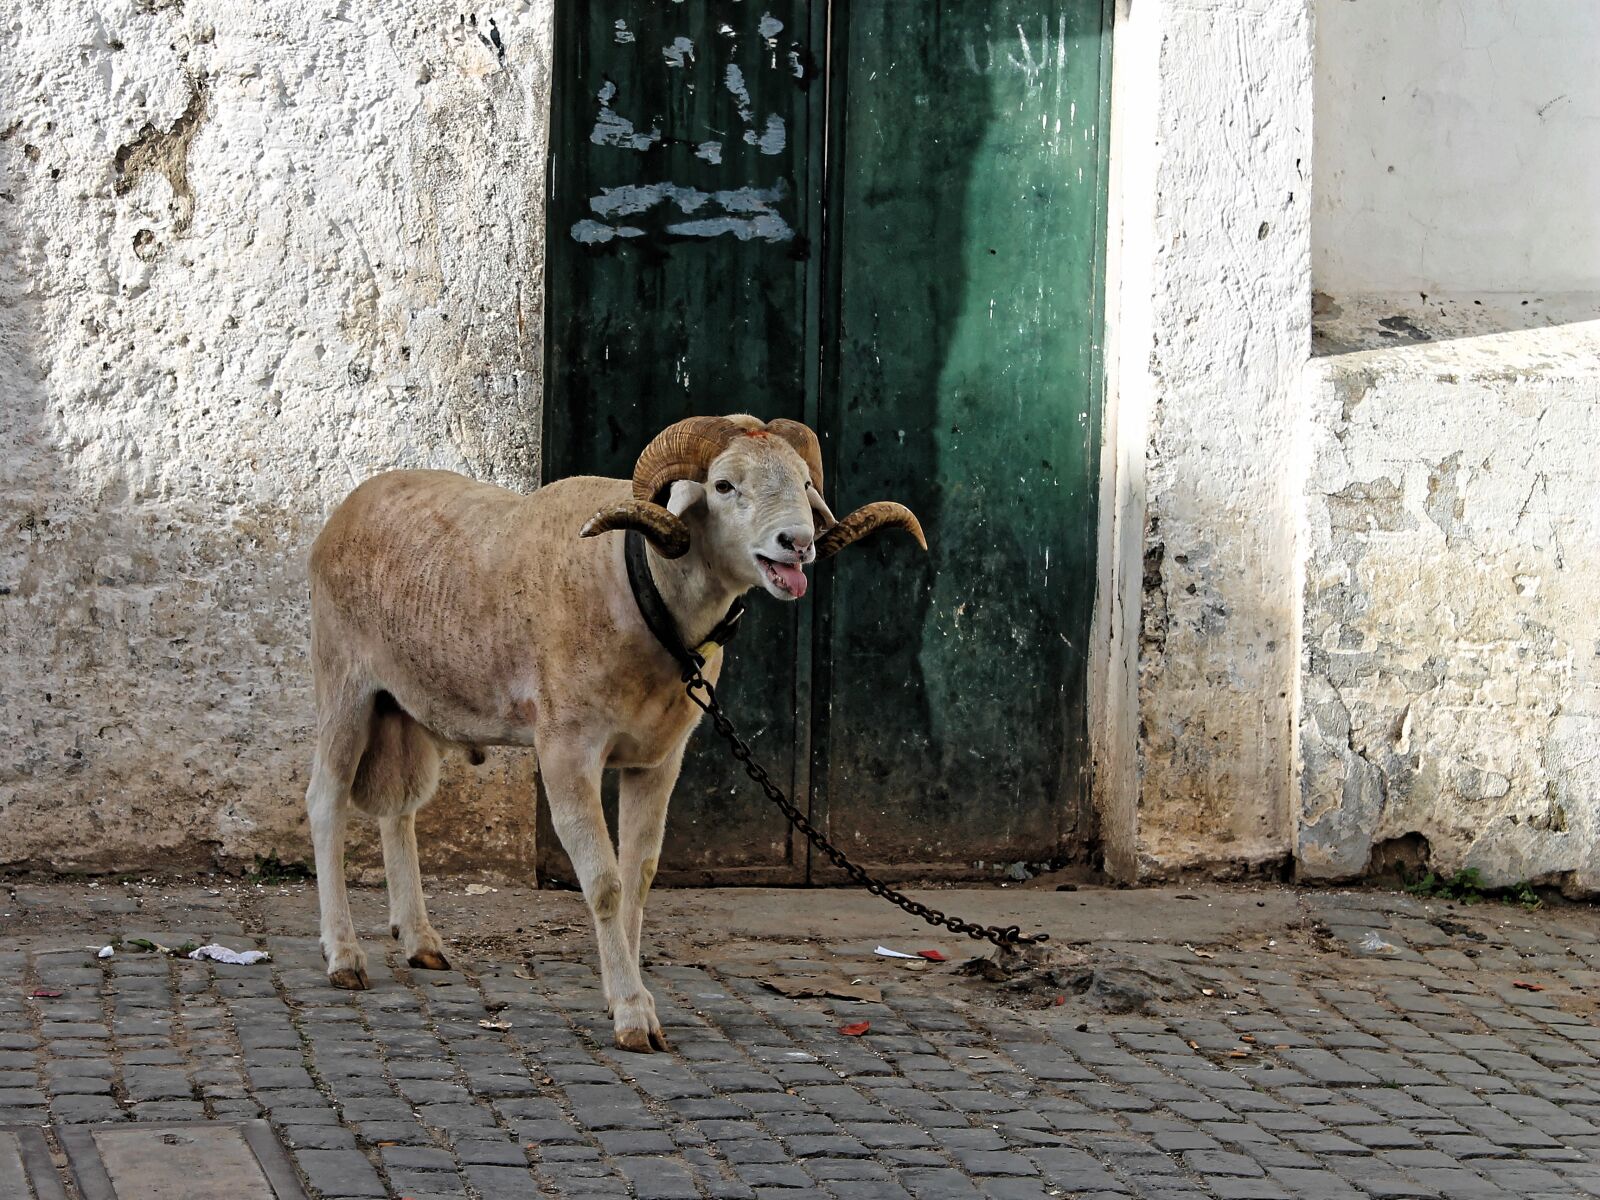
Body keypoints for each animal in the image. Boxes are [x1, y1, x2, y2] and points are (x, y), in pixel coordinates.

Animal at [304, 414, 925, 1051]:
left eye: (804, 482)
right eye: (724, 485)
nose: (797, 543)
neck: (642, 588)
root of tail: (350, 506)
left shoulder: (659, 759)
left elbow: (640, 875)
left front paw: (627, 991)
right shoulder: (566, 751)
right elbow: (604, 882)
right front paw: (632, 1014)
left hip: (406, 707)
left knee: (398, 812)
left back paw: (420, 941)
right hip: (344, 686)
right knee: (326, 802)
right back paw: (344, 955)